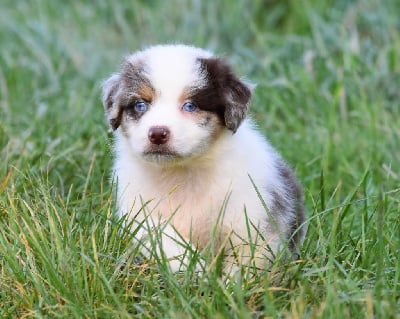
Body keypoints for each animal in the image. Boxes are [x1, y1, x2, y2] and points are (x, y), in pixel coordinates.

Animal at [102, 44, 306, 276]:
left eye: (190, 106)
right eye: (140, 105)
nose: (158, 134)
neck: (181, 172)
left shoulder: (252, 216)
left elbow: (247, 258)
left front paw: (229, 283)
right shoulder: (136, 210)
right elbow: (160, 234)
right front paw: (196, 270)